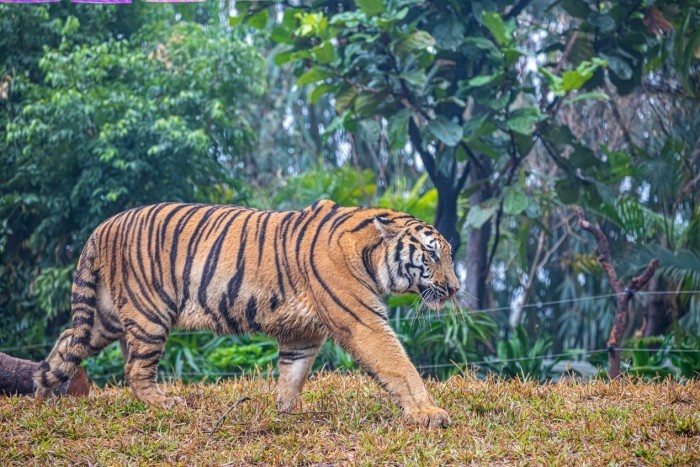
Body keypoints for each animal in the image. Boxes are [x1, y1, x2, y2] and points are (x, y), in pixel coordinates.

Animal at [34, 200, 460, 428]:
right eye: (432, 255)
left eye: (449, 254)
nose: (456, 289)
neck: (371, 255)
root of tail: (103, 225)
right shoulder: (362, 321)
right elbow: (399, 366)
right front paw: (429, 412)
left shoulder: (303, 332)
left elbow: (293, 372)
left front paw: (290, 410)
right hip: (150, 312)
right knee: (134, 369)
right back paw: (165, 403)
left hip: (105, 317)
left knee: (66, 345)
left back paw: (42, 395)